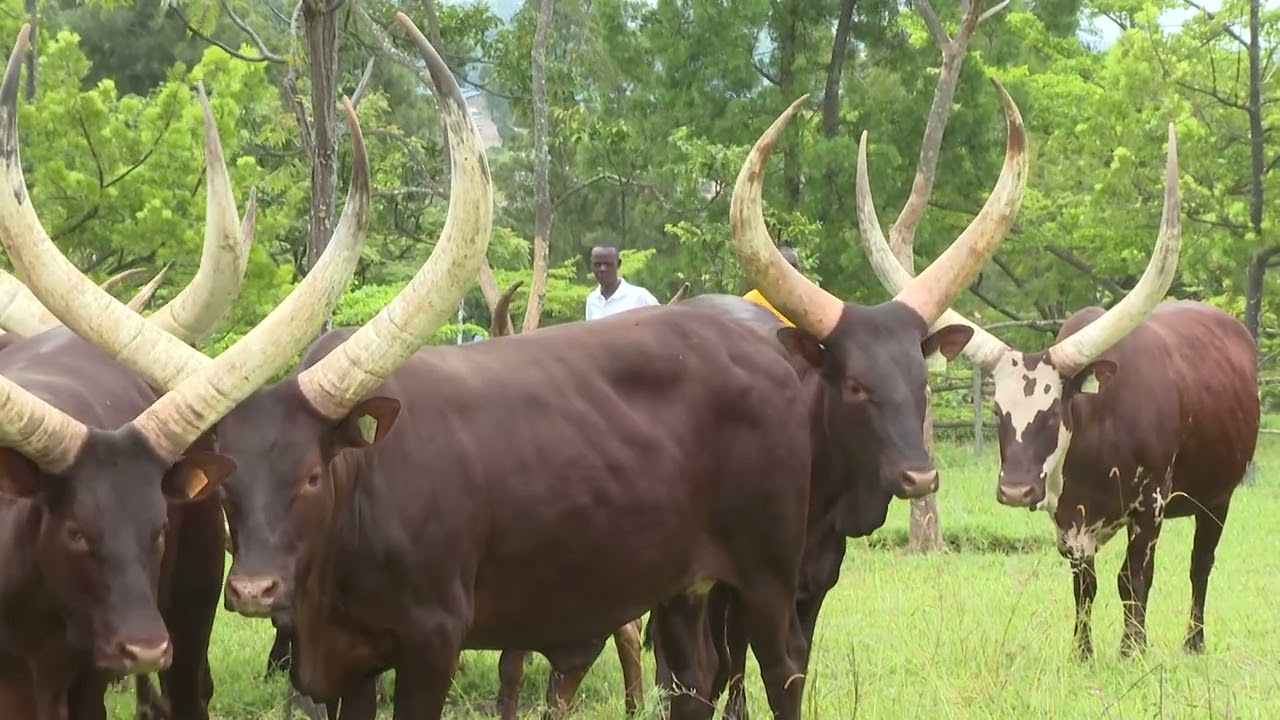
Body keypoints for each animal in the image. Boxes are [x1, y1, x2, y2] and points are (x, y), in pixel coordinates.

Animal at [643, 77, 1029, 718]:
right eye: (854, 385)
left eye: (923, 381)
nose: (920, 478)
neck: (819, 494)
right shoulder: (748, 587)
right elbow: (733, 671)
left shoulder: (814, 584)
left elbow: (790, 671)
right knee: (695, 666)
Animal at [854, 123, 1244, 660]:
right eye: (998, 410)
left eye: (1055, 410)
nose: (1016, 491)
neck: (1098, 432)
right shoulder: (1068, 520)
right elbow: (1086, 585)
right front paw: (1082, 654)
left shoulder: (1150, 506)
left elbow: (1135, 579)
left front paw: (1132, 652)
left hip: (1216, 496)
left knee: (1200, 565)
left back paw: (1193, 642)